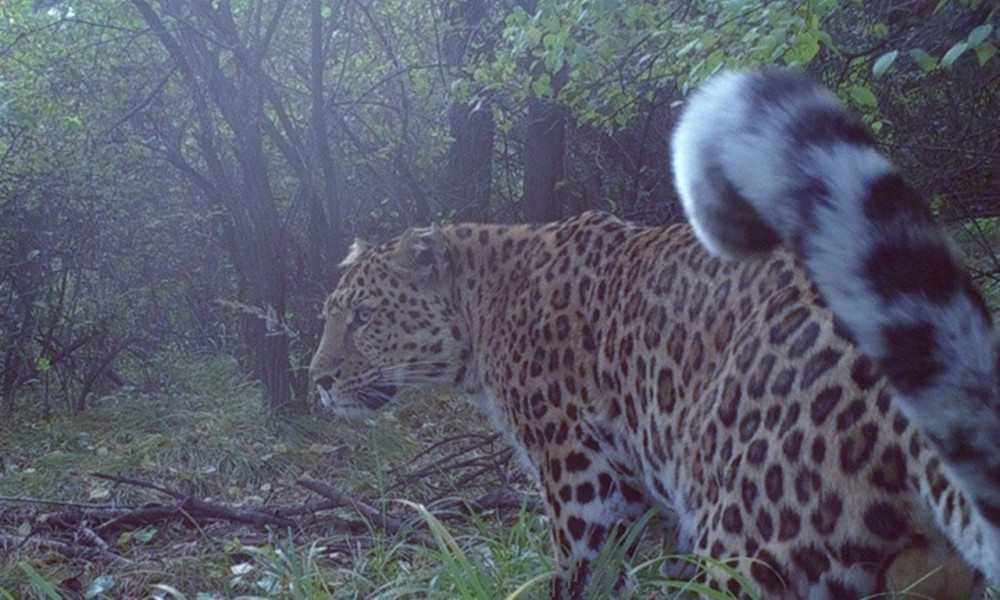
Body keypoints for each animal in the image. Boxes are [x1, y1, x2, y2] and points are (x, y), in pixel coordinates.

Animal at [308, 68, 996, 596]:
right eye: (333, 317)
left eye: (363, 317)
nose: (318, 381)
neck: (484, 313)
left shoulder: (588, 490)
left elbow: (581, 581)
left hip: (748, 542)